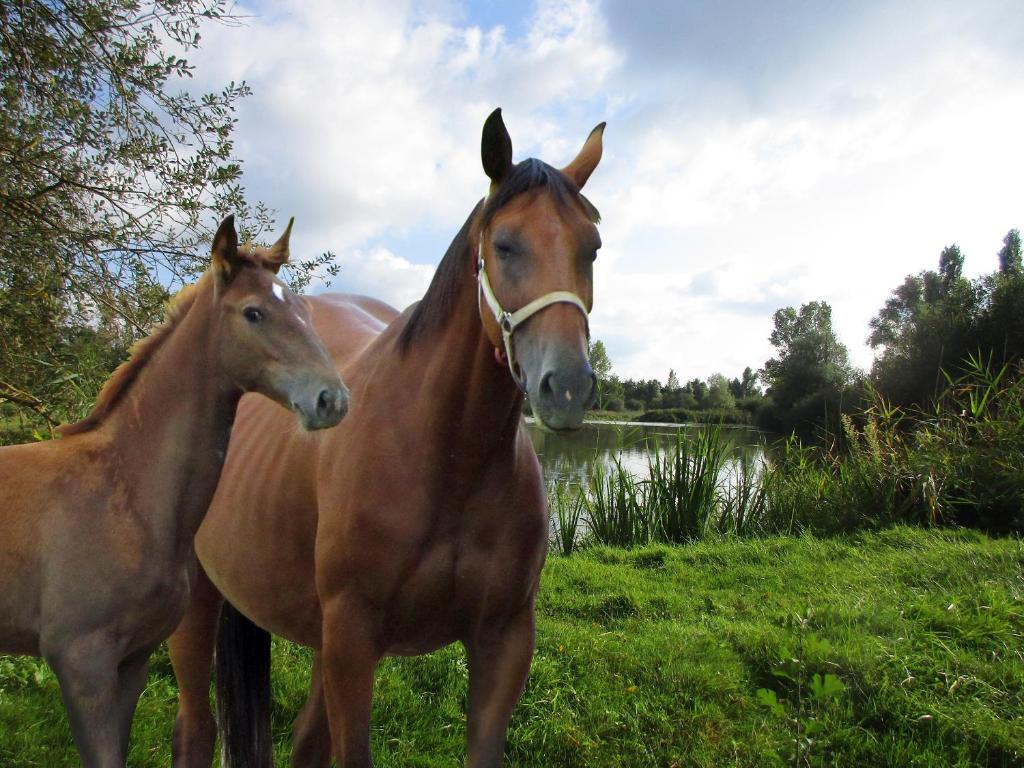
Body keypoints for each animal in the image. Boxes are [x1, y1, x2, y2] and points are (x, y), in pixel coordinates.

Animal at [0, 218, 348, 768]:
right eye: (253, 312)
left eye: (305, 311)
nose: (331, 399)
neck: (124, 492)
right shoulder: (81, 665)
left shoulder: (133, 661)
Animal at [165, 109, 598, 768]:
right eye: (504, 244)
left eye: (592, 247)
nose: (568, 386)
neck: (447, 458)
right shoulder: (352, 638)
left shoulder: (503, 641)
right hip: (200, 605)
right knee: (195, 728)